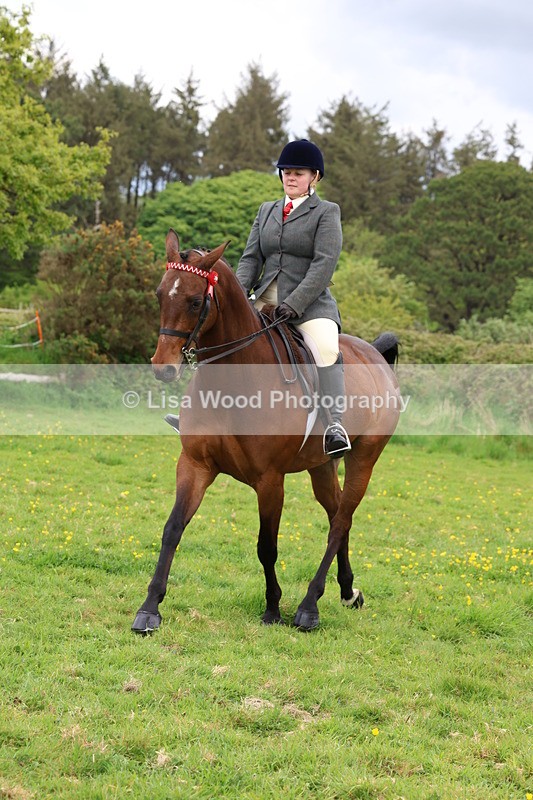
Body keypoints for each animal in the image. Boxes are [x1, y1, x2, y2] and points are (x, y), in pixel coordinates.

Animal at [131, 229, 401, 633]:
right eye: (160, 294)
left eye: (195, 301)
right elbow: (173, 528)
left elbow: (266, 546)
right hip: (322, 465)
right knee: (337, 513)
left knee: (340, 521)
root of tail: (375, 355)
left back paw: (309, 607)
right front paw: (149, 609)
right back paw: (348, 590)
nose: (163, 368)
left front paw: (273, 608)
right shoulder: (194, 465)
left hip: (364, 459)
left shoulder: (270, 480)